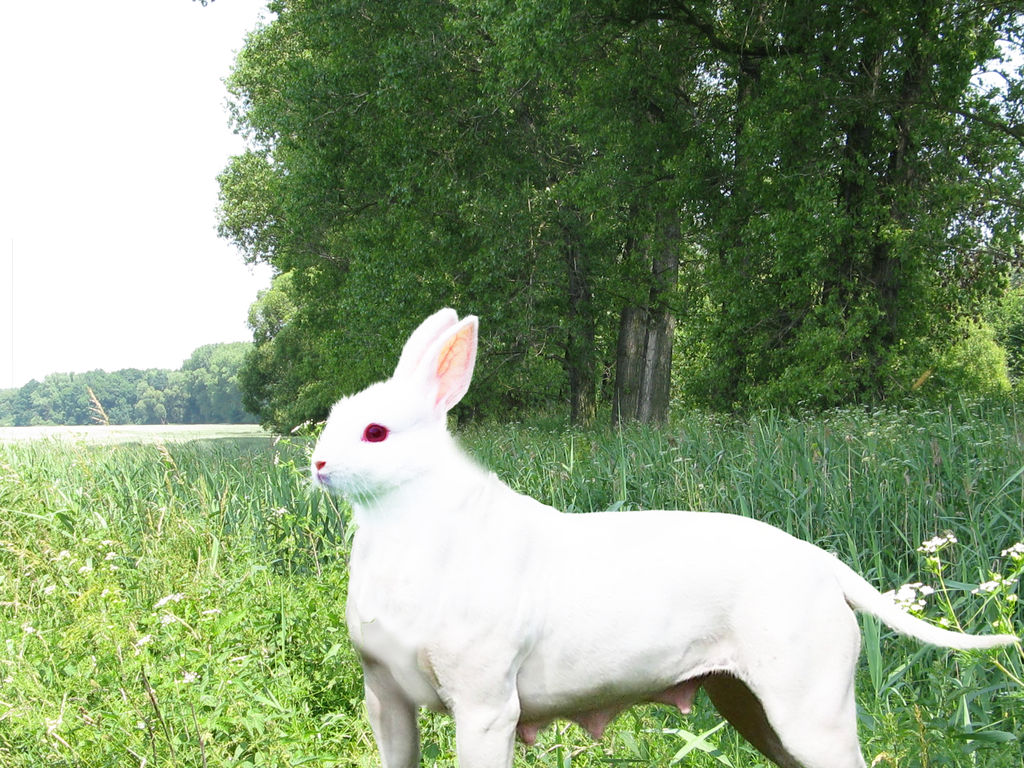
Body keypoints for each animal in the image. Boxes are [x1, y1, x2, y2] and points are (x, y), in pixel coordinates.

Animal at [310, 307, 1019, 768]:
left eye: (375, 433)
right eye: (333, 418)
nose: (315, 463)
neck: (407, 528)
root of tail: (821, 561)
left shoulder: (485, 710)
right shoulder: (386, 704)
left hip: (810, 716)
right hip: (756, 710)